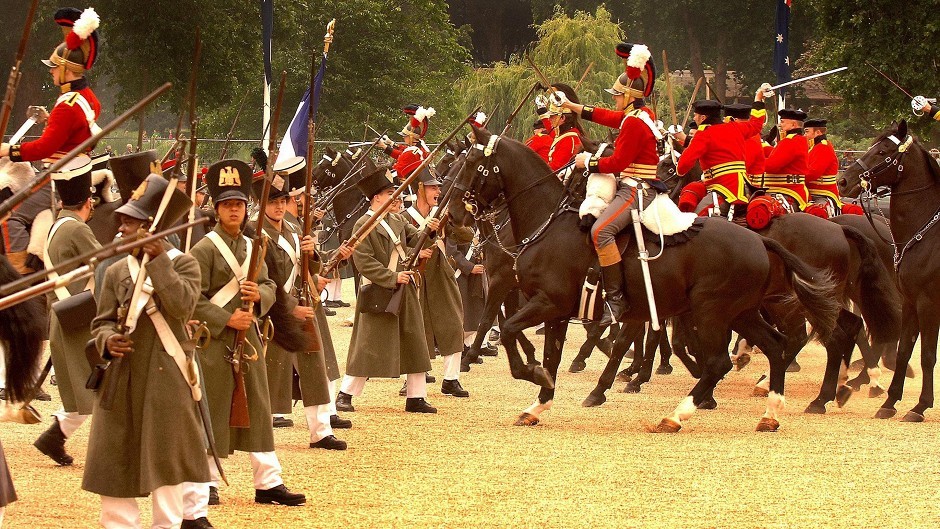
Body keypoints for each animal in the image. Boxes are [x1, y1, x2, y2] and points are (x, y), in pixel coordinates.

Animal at [836, 119, 940, 420]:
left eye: (883, 152)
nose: (843, 181)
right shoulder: (910, 302)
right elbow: (905, 350)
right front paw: (891, 400)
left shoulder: (928, 303)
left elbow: (927, 355)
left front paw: (920, 406)